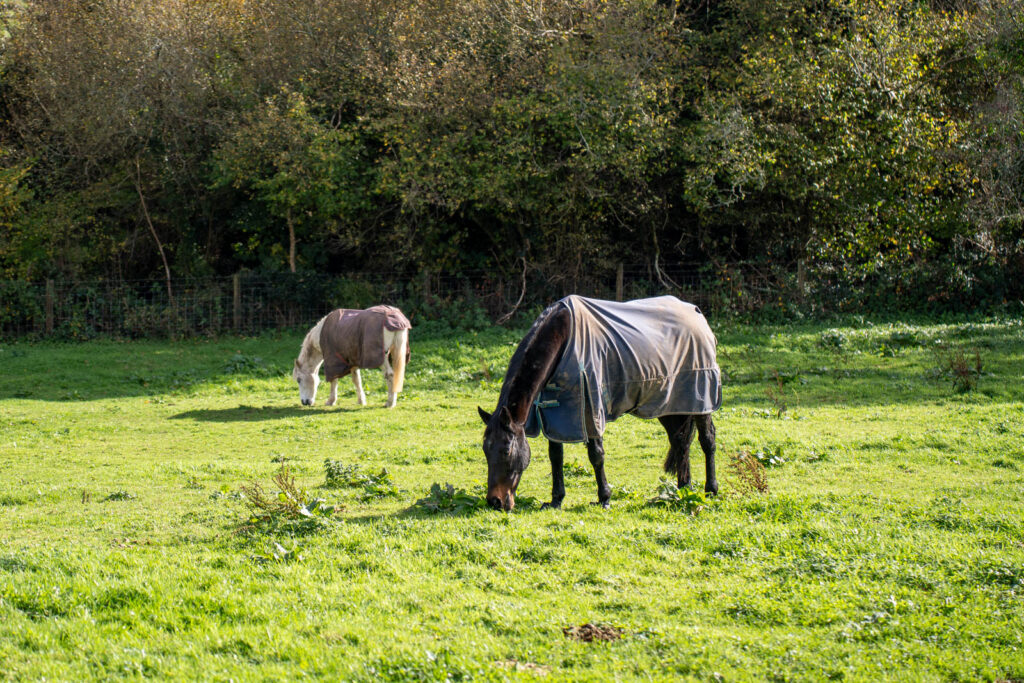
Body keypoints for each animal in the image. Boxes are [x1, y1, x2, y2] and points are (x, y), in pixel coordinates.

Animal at [478, 295, 721, 511]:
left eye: (506, 450)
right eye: (485, 450)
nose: (495, 502)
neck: (564, 338)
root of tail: (697, 315)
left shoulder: (590, 409)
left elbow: (596, 455)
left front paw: (604, 498)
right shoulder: (555, 413)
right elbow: (556, 456)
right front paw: (556, 500)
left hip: (701, 399)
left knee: (707, 439)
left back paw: (711, 489)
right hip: (670, 405)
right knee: (680, 441)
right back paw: (683, 488)